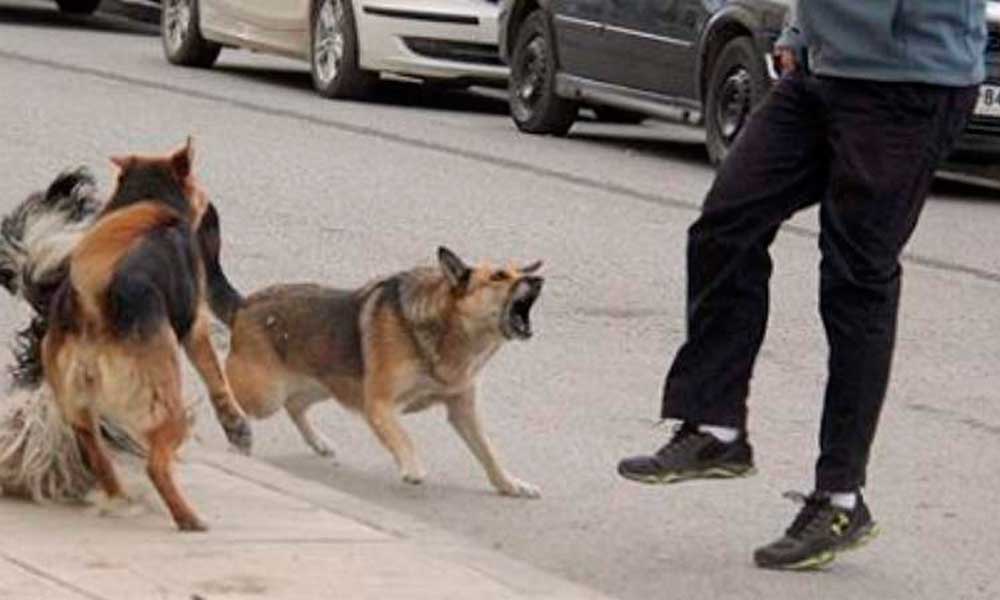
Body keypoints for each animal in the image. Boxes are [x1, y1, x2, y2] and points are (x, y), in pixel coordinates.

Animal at [37, 139, 250, 528]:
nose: (209, 204)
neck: (148, 196)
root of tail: (93, 308)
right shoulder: (195, 326)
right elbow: (215, 373)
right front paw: (236, 425)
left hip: (77, 408)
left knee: (97, 456)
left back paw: (119, 496)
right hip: (167, 405)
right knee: (155, 466)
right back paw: (187, 518)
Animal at [201, 241, 548, 494]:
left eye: (520, 272)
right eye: (499, 276)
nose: (538, 279)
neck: (448, 329)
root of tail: (243, 305)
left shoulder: (463, 410)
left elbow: (489, 452)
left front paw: (510, 484)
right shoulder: (379, 405)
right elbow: (404, 438)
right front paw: (412, 467)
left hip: (324, 384)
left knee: (295, 405)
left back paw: (318, 442)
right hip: (265, 396)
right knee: (224, 389)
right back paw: (232, 426)